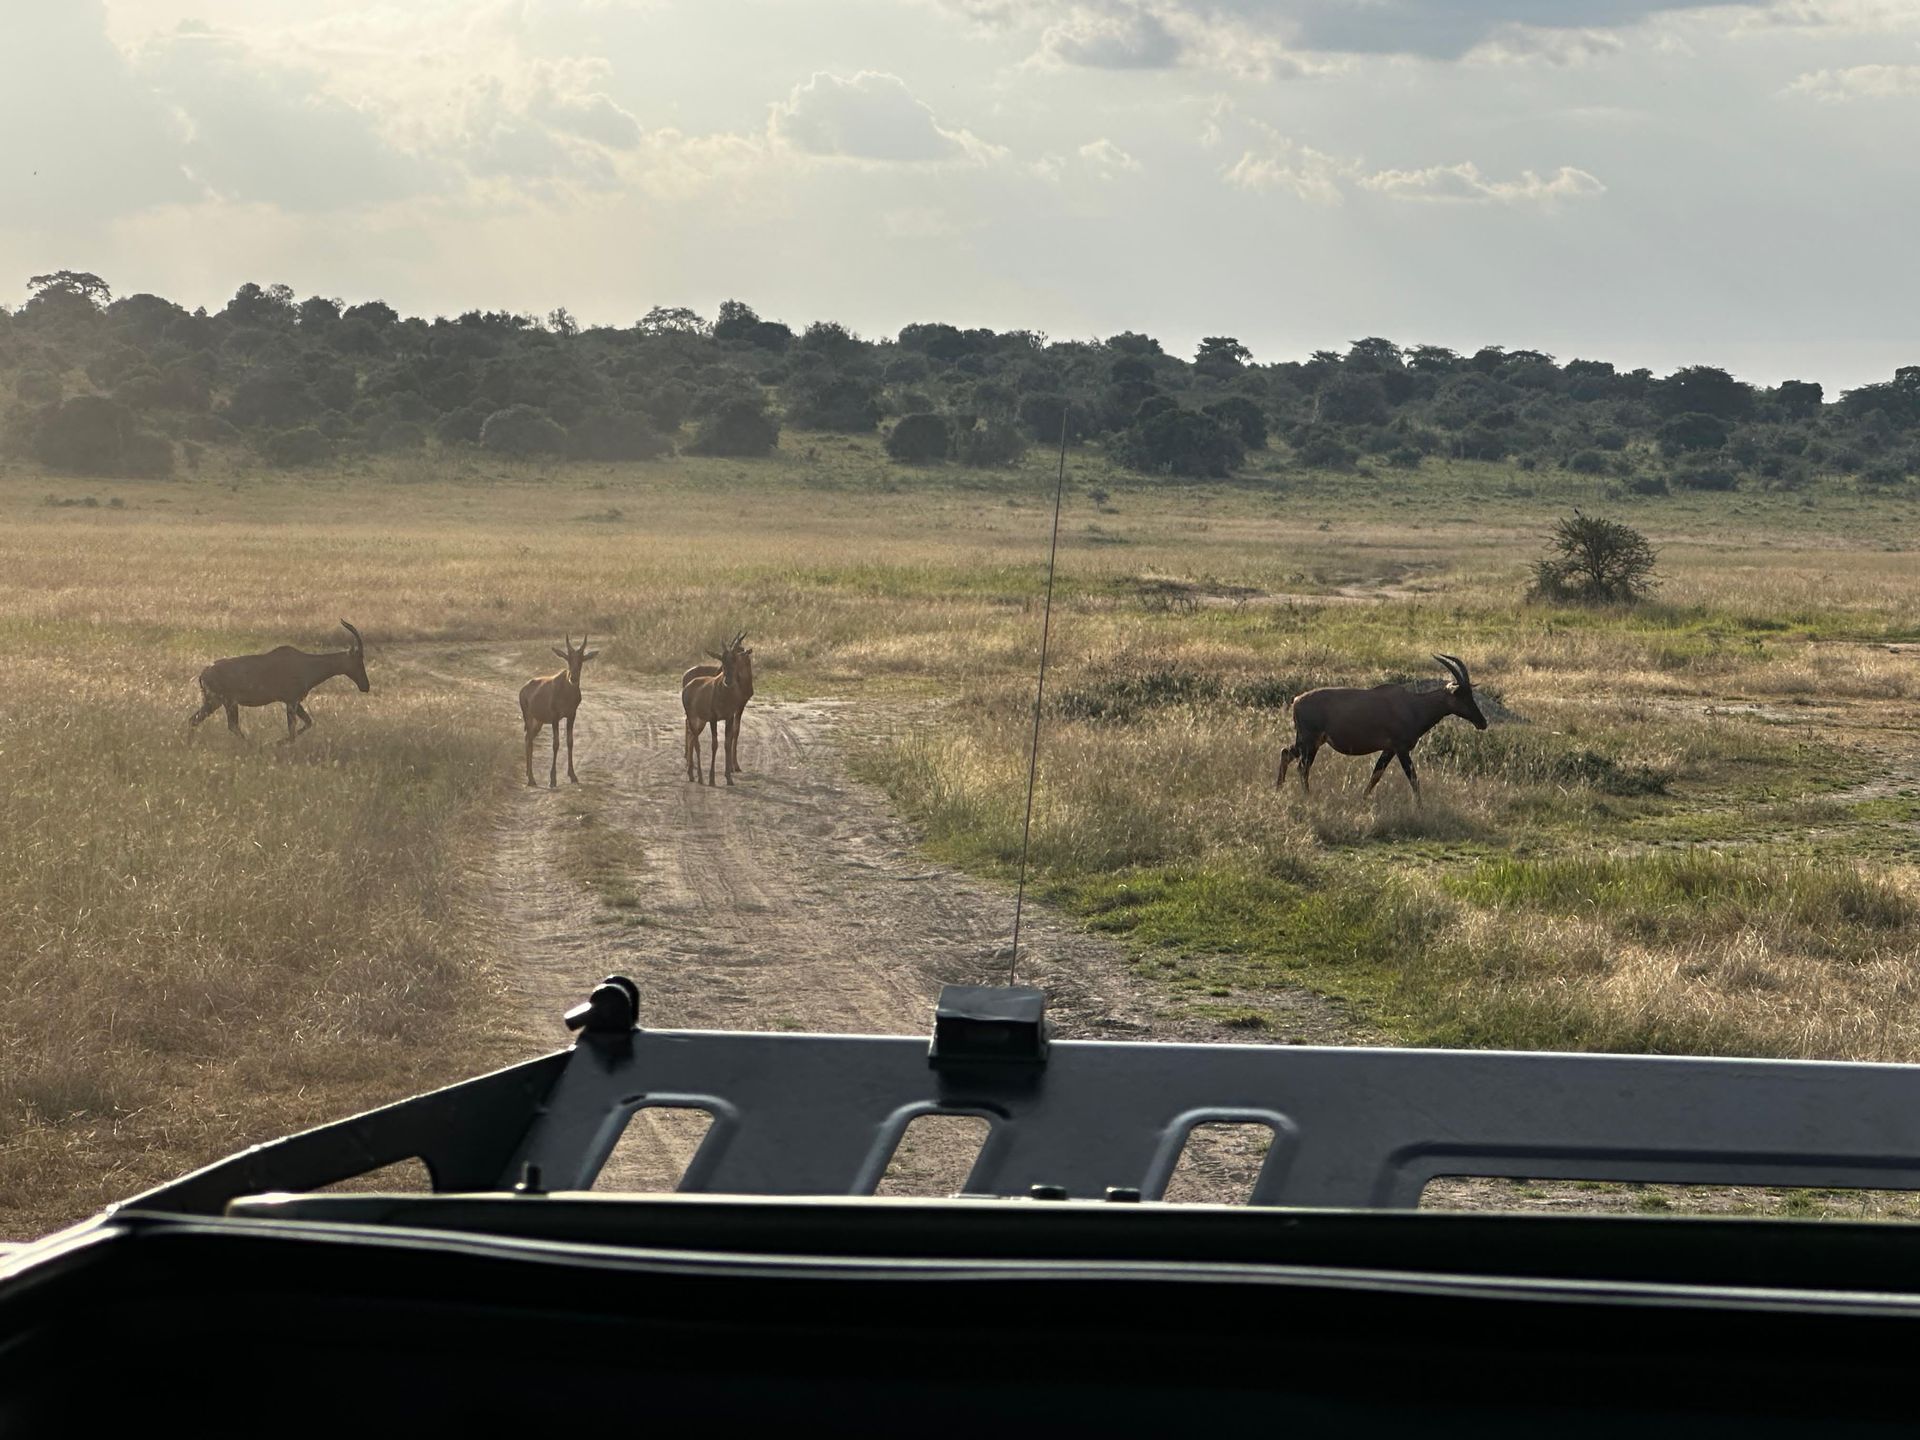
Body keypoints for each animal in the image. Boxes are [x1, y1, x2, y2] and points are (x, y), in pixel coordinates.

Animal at [188, 620, 369, 744]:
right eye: (359, 661)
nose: (365, 686)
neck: (305, 663)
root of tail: (204, 673)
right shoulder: (291, 702)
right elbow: (293, 732)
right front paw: (277, 743)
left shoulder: (295, 702)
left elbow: (308, 723)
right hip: (226, 702)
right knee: (231, 725)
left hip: (216, 703)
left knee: (195, 719)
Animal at [520, 633, 597, 788]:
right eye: (568, 658)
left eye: (581, 660)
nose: (573, 678)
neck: (566, 691)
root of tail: (524, 688)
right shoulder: (555, 717)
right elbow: (556, 744)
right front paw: (553, 780)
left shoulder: (572, 715)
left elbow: (570, 742)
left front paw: (573, 776)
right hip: (528, 717)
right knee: (529, 741)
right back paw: (531, 779)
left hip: (538, 721)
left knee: (527, 738)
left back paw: (528, 775)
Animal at [681, 632, 754, 785]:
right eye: (722, 660)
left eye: (735, 660)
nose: (728, 681)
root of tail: (688, 684)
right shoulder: (714, 719)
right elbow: (714, 744)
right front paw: (712, 779)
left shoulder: (730, 716)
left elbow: (727, 741)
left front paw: (729, 776)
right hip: (694, 718)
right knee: (695, 741)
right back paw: (698, 776)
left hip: (701, 721)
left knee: (692, 738)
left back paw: (692, 773)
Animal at [1276, 654, 1487, 800]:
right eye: (1462, 694)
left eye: (1471, 693)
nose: (1482, 722)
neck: (1413, 705)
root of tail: (1296, 701)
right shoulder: (1401, 749)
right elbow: (1413, 778)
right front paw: (1420, 807)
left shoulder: (1389, 749)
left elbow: (1376, 775)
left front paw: (1362, 799)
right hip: (1310, 742)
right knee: (1302, 767)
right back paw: (1306, 796)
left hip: (1307, 742)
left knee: (1286, 752)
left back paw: (1279, 790)